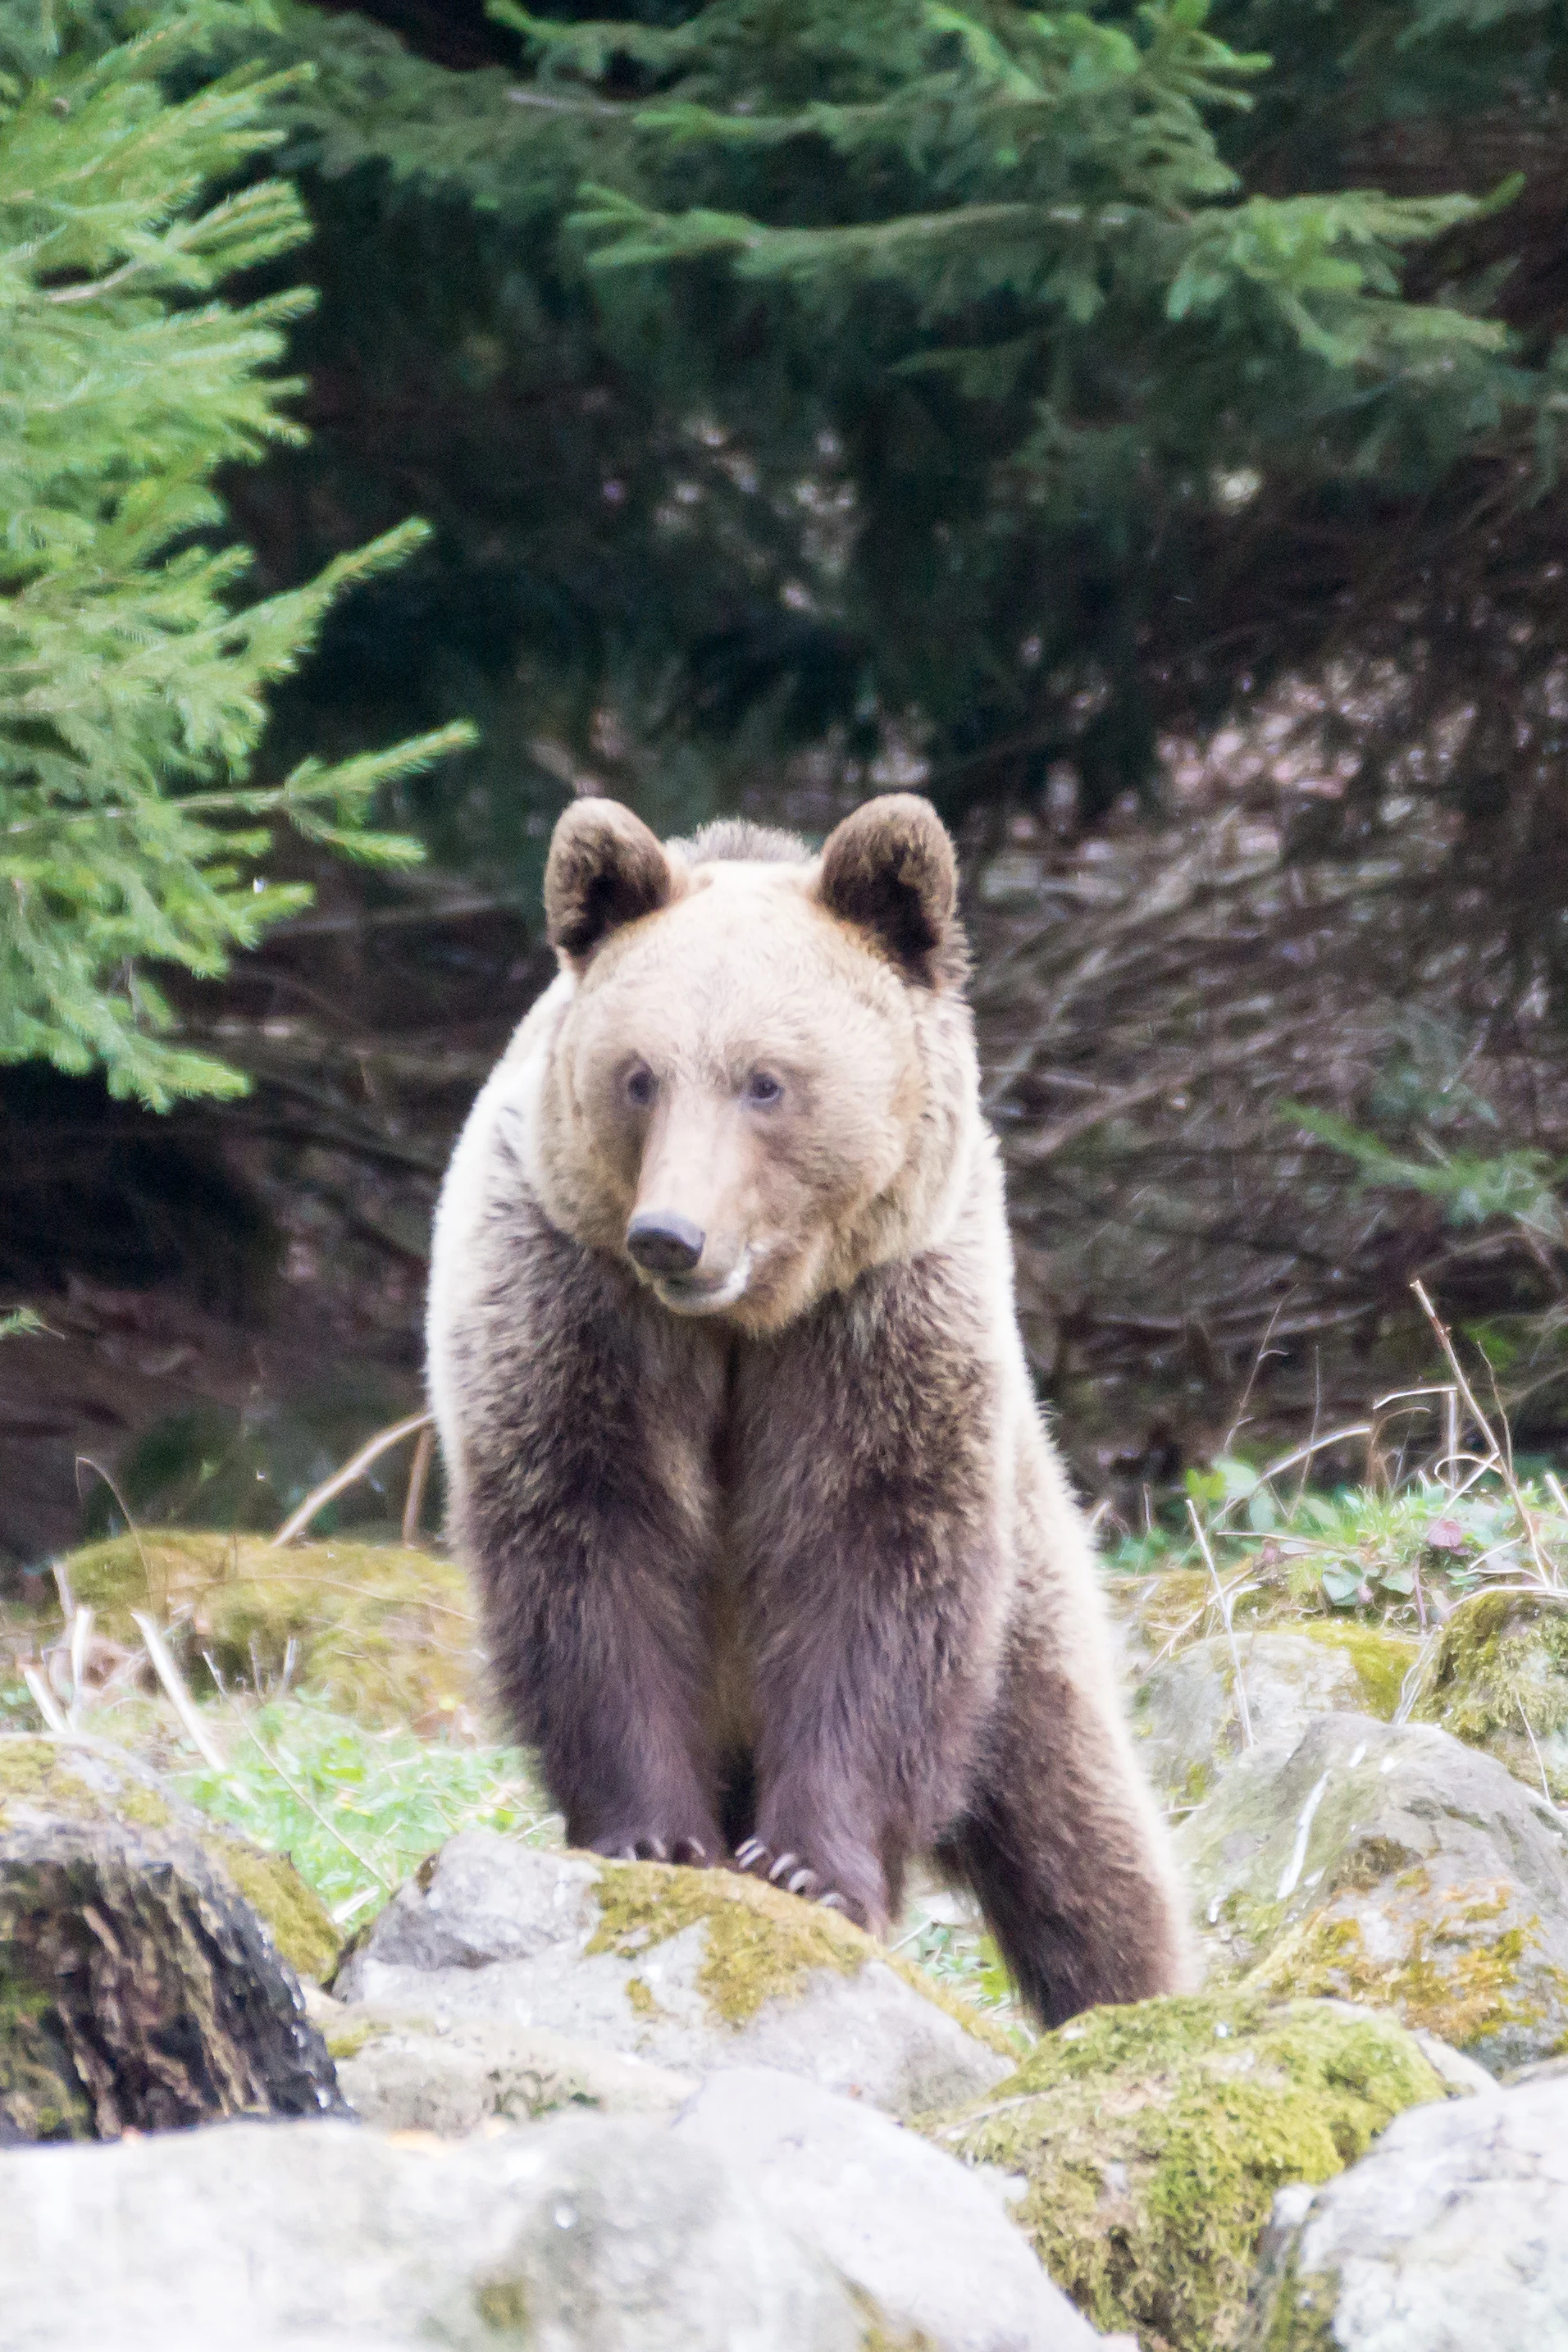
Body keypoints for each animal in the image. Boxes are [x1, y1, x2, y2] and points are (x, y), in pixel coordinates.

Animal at [426, 791, 1189, 2026]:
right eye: (640, 1075)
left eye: (767, 1081)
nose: (671, 1235)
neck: (748, 1321)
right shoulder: (572, 1305)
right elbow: (594, 1549)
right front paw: (653, 1837)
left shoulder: (879, 1326)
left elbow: (872, 1567)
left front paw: (808, 1868)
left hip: (1031, 1598)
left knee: (1080, 1833)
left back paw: (1128, 1996)